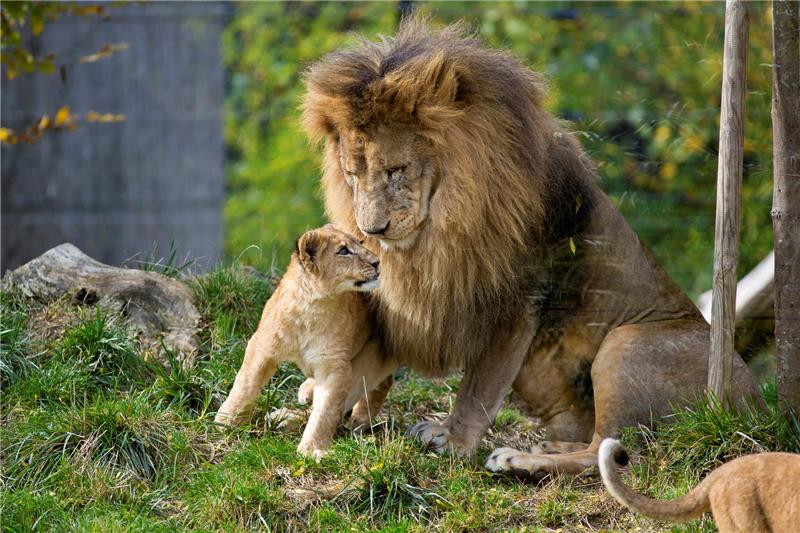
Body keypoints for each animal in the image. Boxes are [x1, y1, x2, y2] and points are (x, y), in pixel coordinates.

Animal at [296, 16, 760, 476]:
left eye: (396, 170)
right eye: (352, 174)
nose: (371, 230)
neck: (440, 228)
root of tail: (752, 405)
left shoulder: (515, 303)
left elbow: (480, 385)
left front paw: (454, 440)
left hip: (625, 345)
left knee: (608, 454)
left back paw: (517, 460)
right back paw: (547, 446)